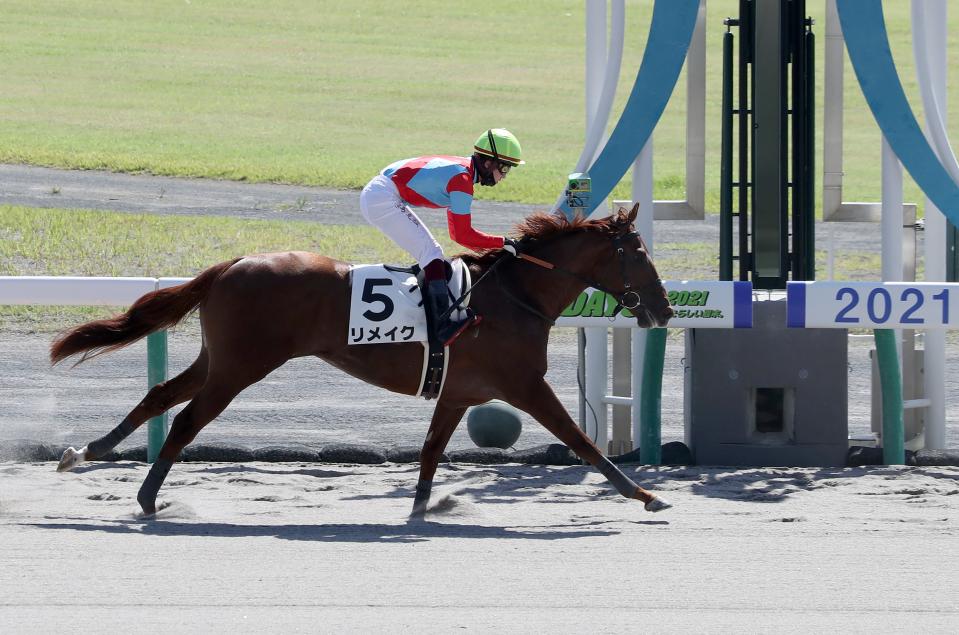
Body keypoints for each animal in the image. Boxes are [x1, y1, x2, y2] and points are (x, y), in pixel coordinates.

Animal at [52, 204, 676, 516]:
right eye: (640, 253)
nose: (666, 308)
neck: (515, 294)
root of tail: (234, 263)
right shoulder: (524, 384)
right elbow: (582, 439)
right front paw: (644, 494)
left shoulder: (460, 390)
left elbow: (431, 449)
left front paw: (423, 507)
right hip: (241, 366)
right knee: (184, 421)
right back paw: (147, 498)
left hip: (219, 359)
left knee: (160, 396)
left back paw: (85, 453)